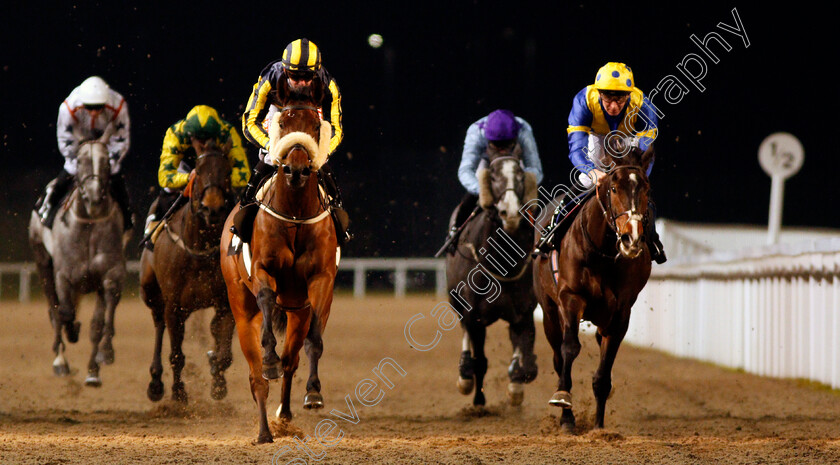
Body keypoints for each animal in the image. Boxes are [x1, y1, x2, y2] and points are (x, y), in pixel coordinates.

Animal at [29, 140, 126, 386]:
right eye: (80, 161)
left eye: (107, 161)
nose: (93, 197)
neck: (89, 223)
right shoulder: (63, 275)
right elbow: (64, 312)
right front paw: (71, 332)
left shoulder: (110, 274)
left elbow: (100, 323)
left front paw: (103, 357)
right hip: (42, 262)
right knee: (54, 310)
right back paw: (60, 361)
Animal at [139, 138, 235, 402]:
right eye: (199, 172)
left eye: (227, 172)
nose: (212, 208)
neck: (198, 247)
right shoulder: (174, 305)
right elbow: (176, 354)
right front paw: (178, 393)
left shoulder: (224, 303)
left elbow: (224, 352)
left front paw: (218, 383)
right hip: (150, 291)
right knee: (159, 323)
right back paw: (155, 383)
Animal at [221, 83, 336, 442]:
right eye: (282, 124)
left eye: (315, 126)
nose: (296, 169)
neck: (296, 214)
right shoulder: (263, 270)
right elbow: (267, 299)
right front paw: (269, 355)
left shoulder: (321, 281)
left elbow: (315, 340)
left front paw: (313, 392)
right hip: (240, 308)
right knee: (257, 375)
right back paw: (263, 432)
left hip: (297, 311)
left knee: (290, 362)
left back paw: (283, 416)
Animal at [446, 144, 540, 406]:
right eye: (494, 175)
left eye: (520, 175)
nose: (511, 212)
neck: (501, 265)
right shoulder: (474, 316)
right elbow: (479, 360)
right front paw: (477, 396)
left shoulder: (523, 312)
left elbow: (524, 355)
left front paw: (518, 380)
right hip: (458, 304)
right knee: (467, 338)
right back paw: (466, 377)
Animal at [532, 143, 656, 430]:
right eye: (613, 188)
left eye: (646, 188)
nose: (632, 238)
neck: (602, 254)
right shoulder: (570, 297)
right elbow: (569, 348)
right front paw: (564, 404)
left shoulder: (621, 311)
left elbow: (604, 368)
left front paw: (599, 426)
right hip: (549, 309)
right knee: (558, 356)